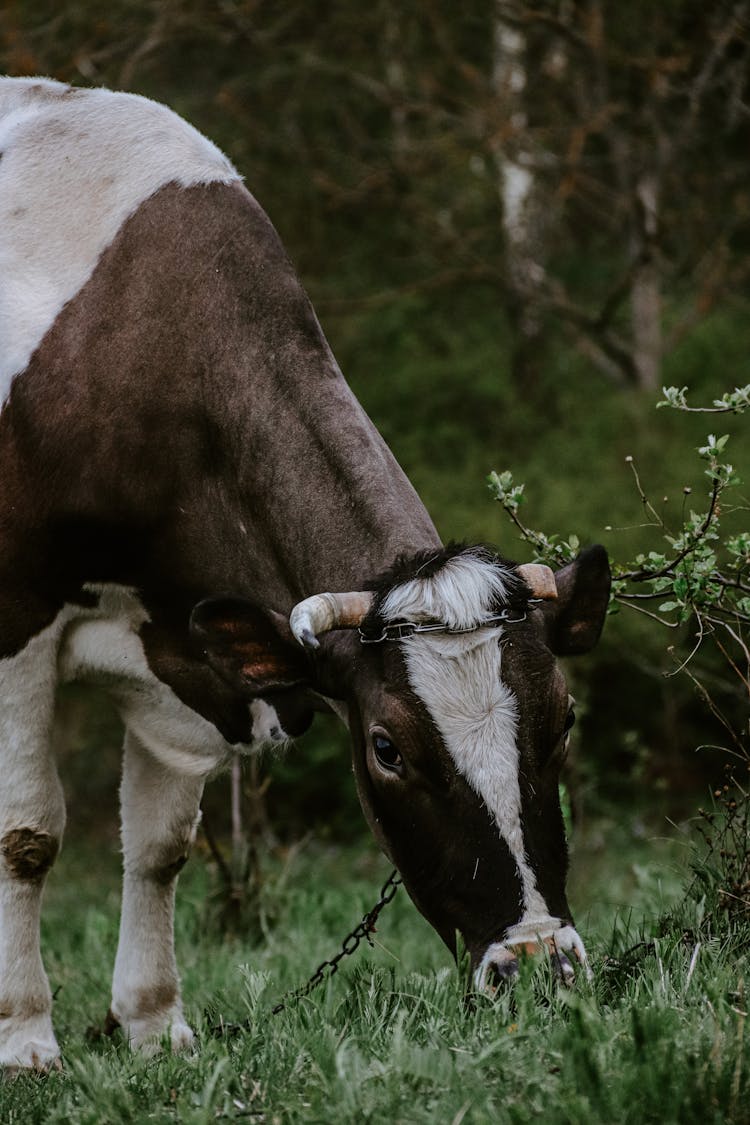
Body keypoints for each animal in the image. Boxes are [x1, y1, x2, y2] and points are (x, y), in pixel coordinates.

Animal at [0, 79, 611, 1071]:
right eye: (387, 747)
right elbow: (27, 834)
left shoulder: (181, 653)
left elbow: (160, 844)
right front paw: (23, 1039)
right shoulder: (15, 617)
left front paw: (155, 1025)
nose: (534, 965)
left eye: (564, 716)